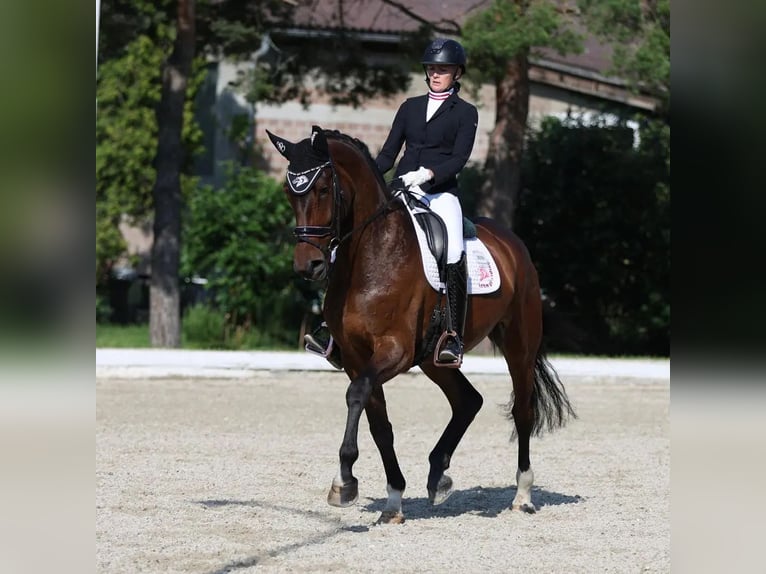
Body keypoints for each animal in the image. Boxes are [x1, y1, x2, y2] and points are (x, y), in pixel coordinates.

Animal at [268, 125, 572, 528]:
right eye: (290, 192)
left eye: (321, 189)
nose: (309, 266)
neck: (370, 255)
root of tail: (512, 242)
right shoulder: (356, 357)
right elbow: (378, 423)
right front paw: (393, 499)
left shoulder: (394, 351)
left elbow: (356, 395)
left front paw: (344, 481)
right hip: (434, 358)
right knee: (468, 400)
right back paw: (437, 475)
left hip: (518, 345)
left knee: (523, 410)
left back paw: (522, 495)